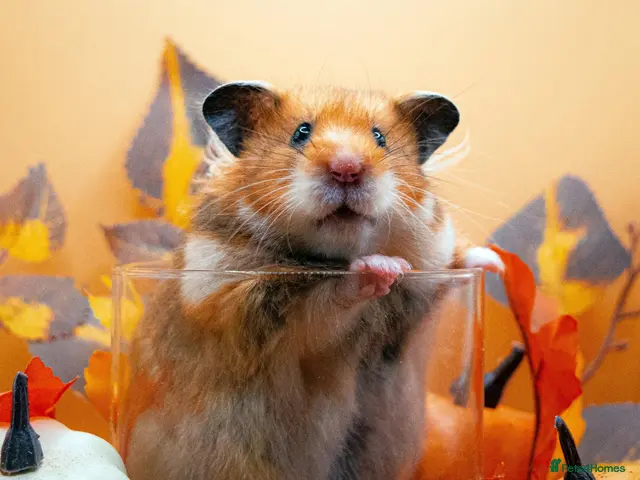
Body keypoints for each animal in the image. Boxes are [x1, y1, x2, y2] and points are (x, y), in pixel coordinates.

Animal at [122, 81, 503, 480]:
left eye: (380, 137)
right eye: (300, 133)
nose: (347, 169)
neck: (332, 253)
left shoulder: (427, 272)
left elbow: (454, 261)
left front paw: (496, 264)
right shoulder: (255, 314)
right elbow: (325, 303)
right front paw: (381, 268)